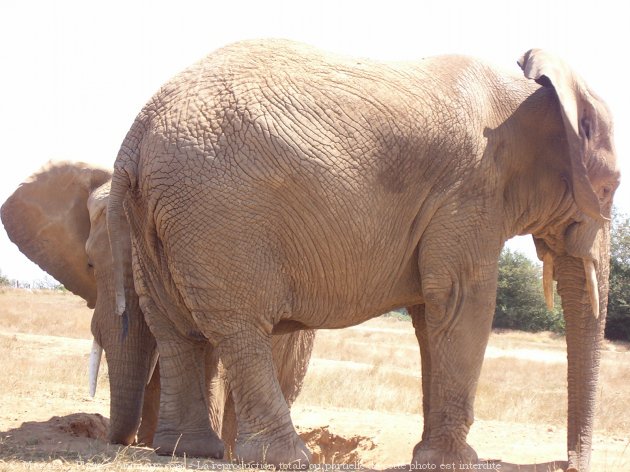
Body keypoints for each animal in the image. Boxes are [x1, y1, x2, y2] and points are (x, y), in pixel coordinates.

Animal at [107, 41, 616, 472]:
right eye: (610, 189)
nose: (569, 463)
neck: (528, 91)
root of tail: (135, 133)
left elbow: (431, 314)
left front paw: (433, 458)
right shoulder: (469, 192)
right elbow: (460, 302)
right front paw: (455, 462)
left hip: (157, 216)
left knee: (174, 329)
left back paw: (189, 451)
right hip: (219, 213)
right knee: (239, 327)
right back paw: (285, 458)